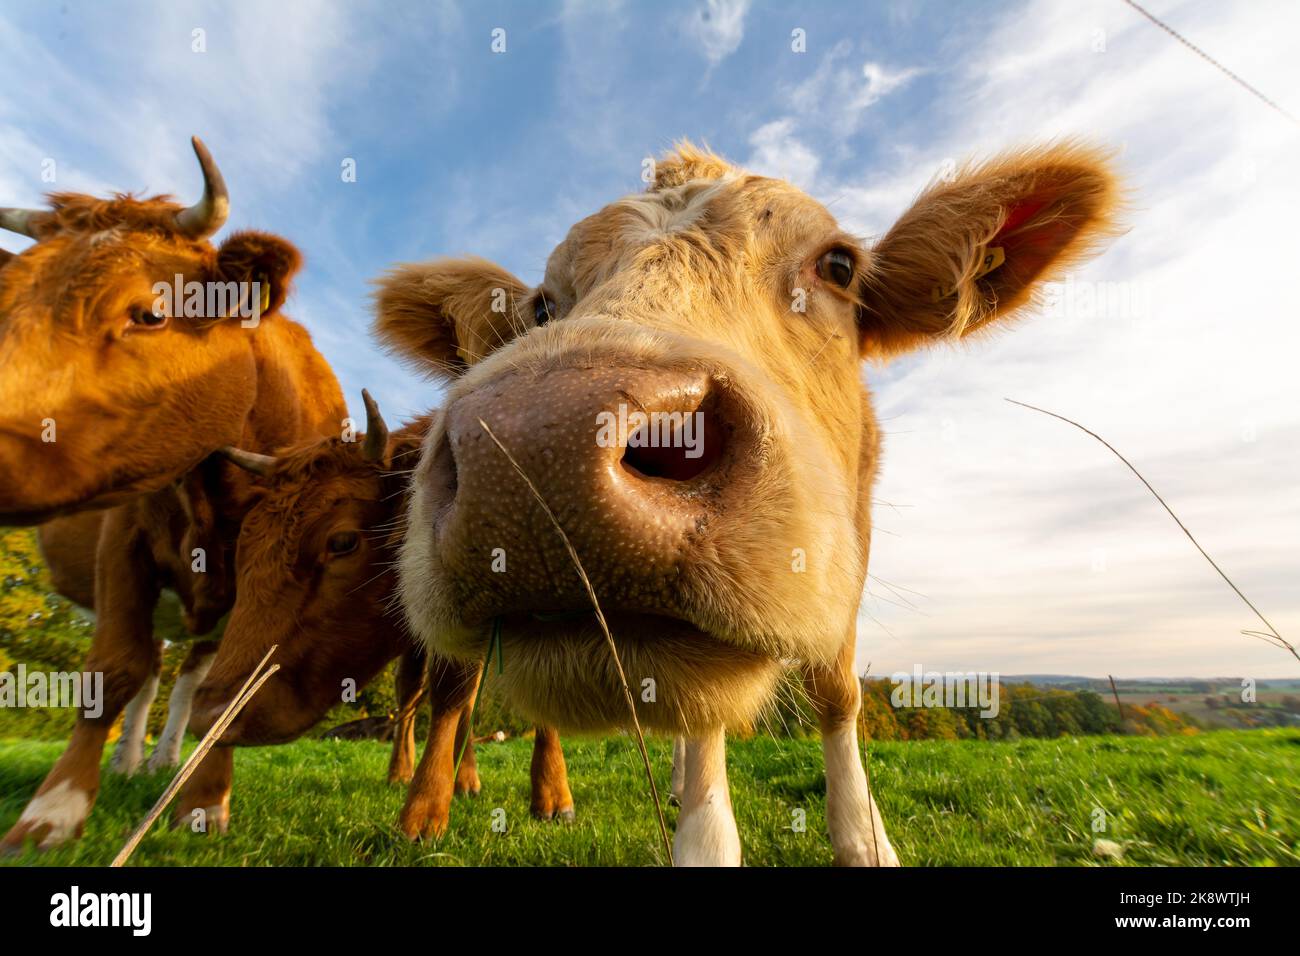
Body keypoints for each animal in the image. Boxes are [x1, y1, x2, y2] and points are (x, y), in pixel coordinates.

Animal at [0, 139, 348, 851]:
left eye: (149, 312)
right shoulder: (124, 541)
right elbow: (111, 671)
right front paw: (55, 810)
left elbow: (226, 685)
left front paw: (205, 800)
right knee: (153, 671)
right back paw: (131, 761)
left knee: (186, 679)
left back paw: (163, 763)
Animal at [206, 391, 574, 837]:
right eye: (245, 545)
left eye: (342, 541)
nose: (212, 712)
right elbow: (448, 695)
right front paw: (424, 809)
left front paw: (553, 795)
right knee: (415, 693)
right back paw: (409, 772)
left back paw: (466, 779)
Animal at [372, 141, 1121, 865]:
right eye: (542, 307)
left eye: (838, 266)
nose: (535, 449)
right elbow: (704, 722)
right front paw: (704, 836)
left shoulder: (854, 539)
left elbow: (839, 692)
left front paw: (864, 836)